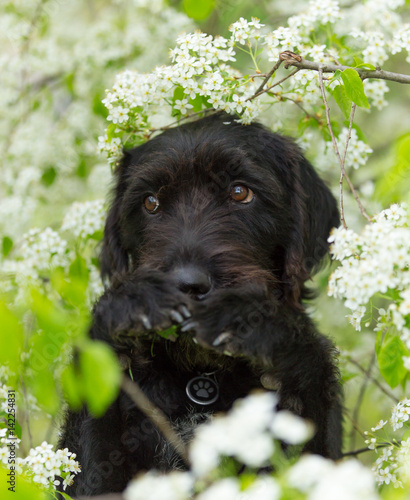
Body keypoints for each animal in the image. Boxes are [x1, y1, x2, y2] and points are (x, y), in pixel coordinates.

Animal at [60, 113, 342, 496]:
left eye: (240, 192)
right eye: (150, 202)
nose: (188, 284)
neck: (200, 377)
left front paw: (248, 321)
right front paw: (133, 304)